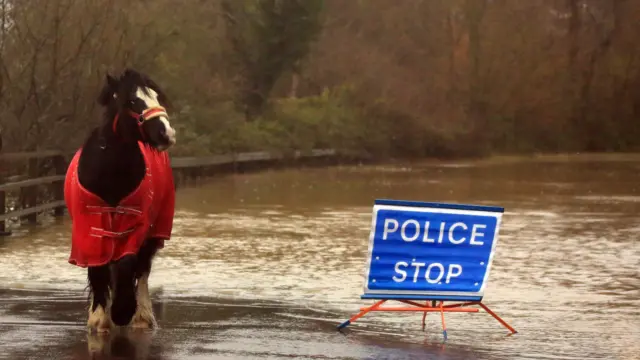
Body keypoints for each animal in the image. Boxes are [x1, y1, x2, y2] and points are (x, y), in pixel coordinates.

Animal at [64, 69, 178, 334]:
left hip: (154, 231)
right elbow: (98, 270)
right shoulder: (90, 228)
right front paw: (99, 318)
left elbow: (127, 264)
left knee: (143, 269)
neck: (109, 173)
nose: (166, 133)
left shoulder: (134, 225)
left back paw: (142, 316)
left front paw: (122, 311)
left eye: (157, 96)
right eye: (133, 101)